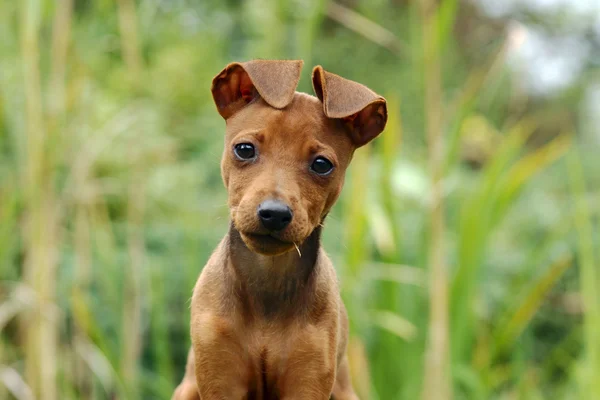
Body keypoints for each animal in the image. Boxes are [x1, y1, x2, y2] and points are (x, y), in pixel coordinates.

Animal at [172, 59, 390, 400]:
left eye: (322, 165)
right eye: (244, 149)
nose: (274, 214)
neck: (267, 280)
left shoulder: (309, 378)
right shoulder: (219, 375)